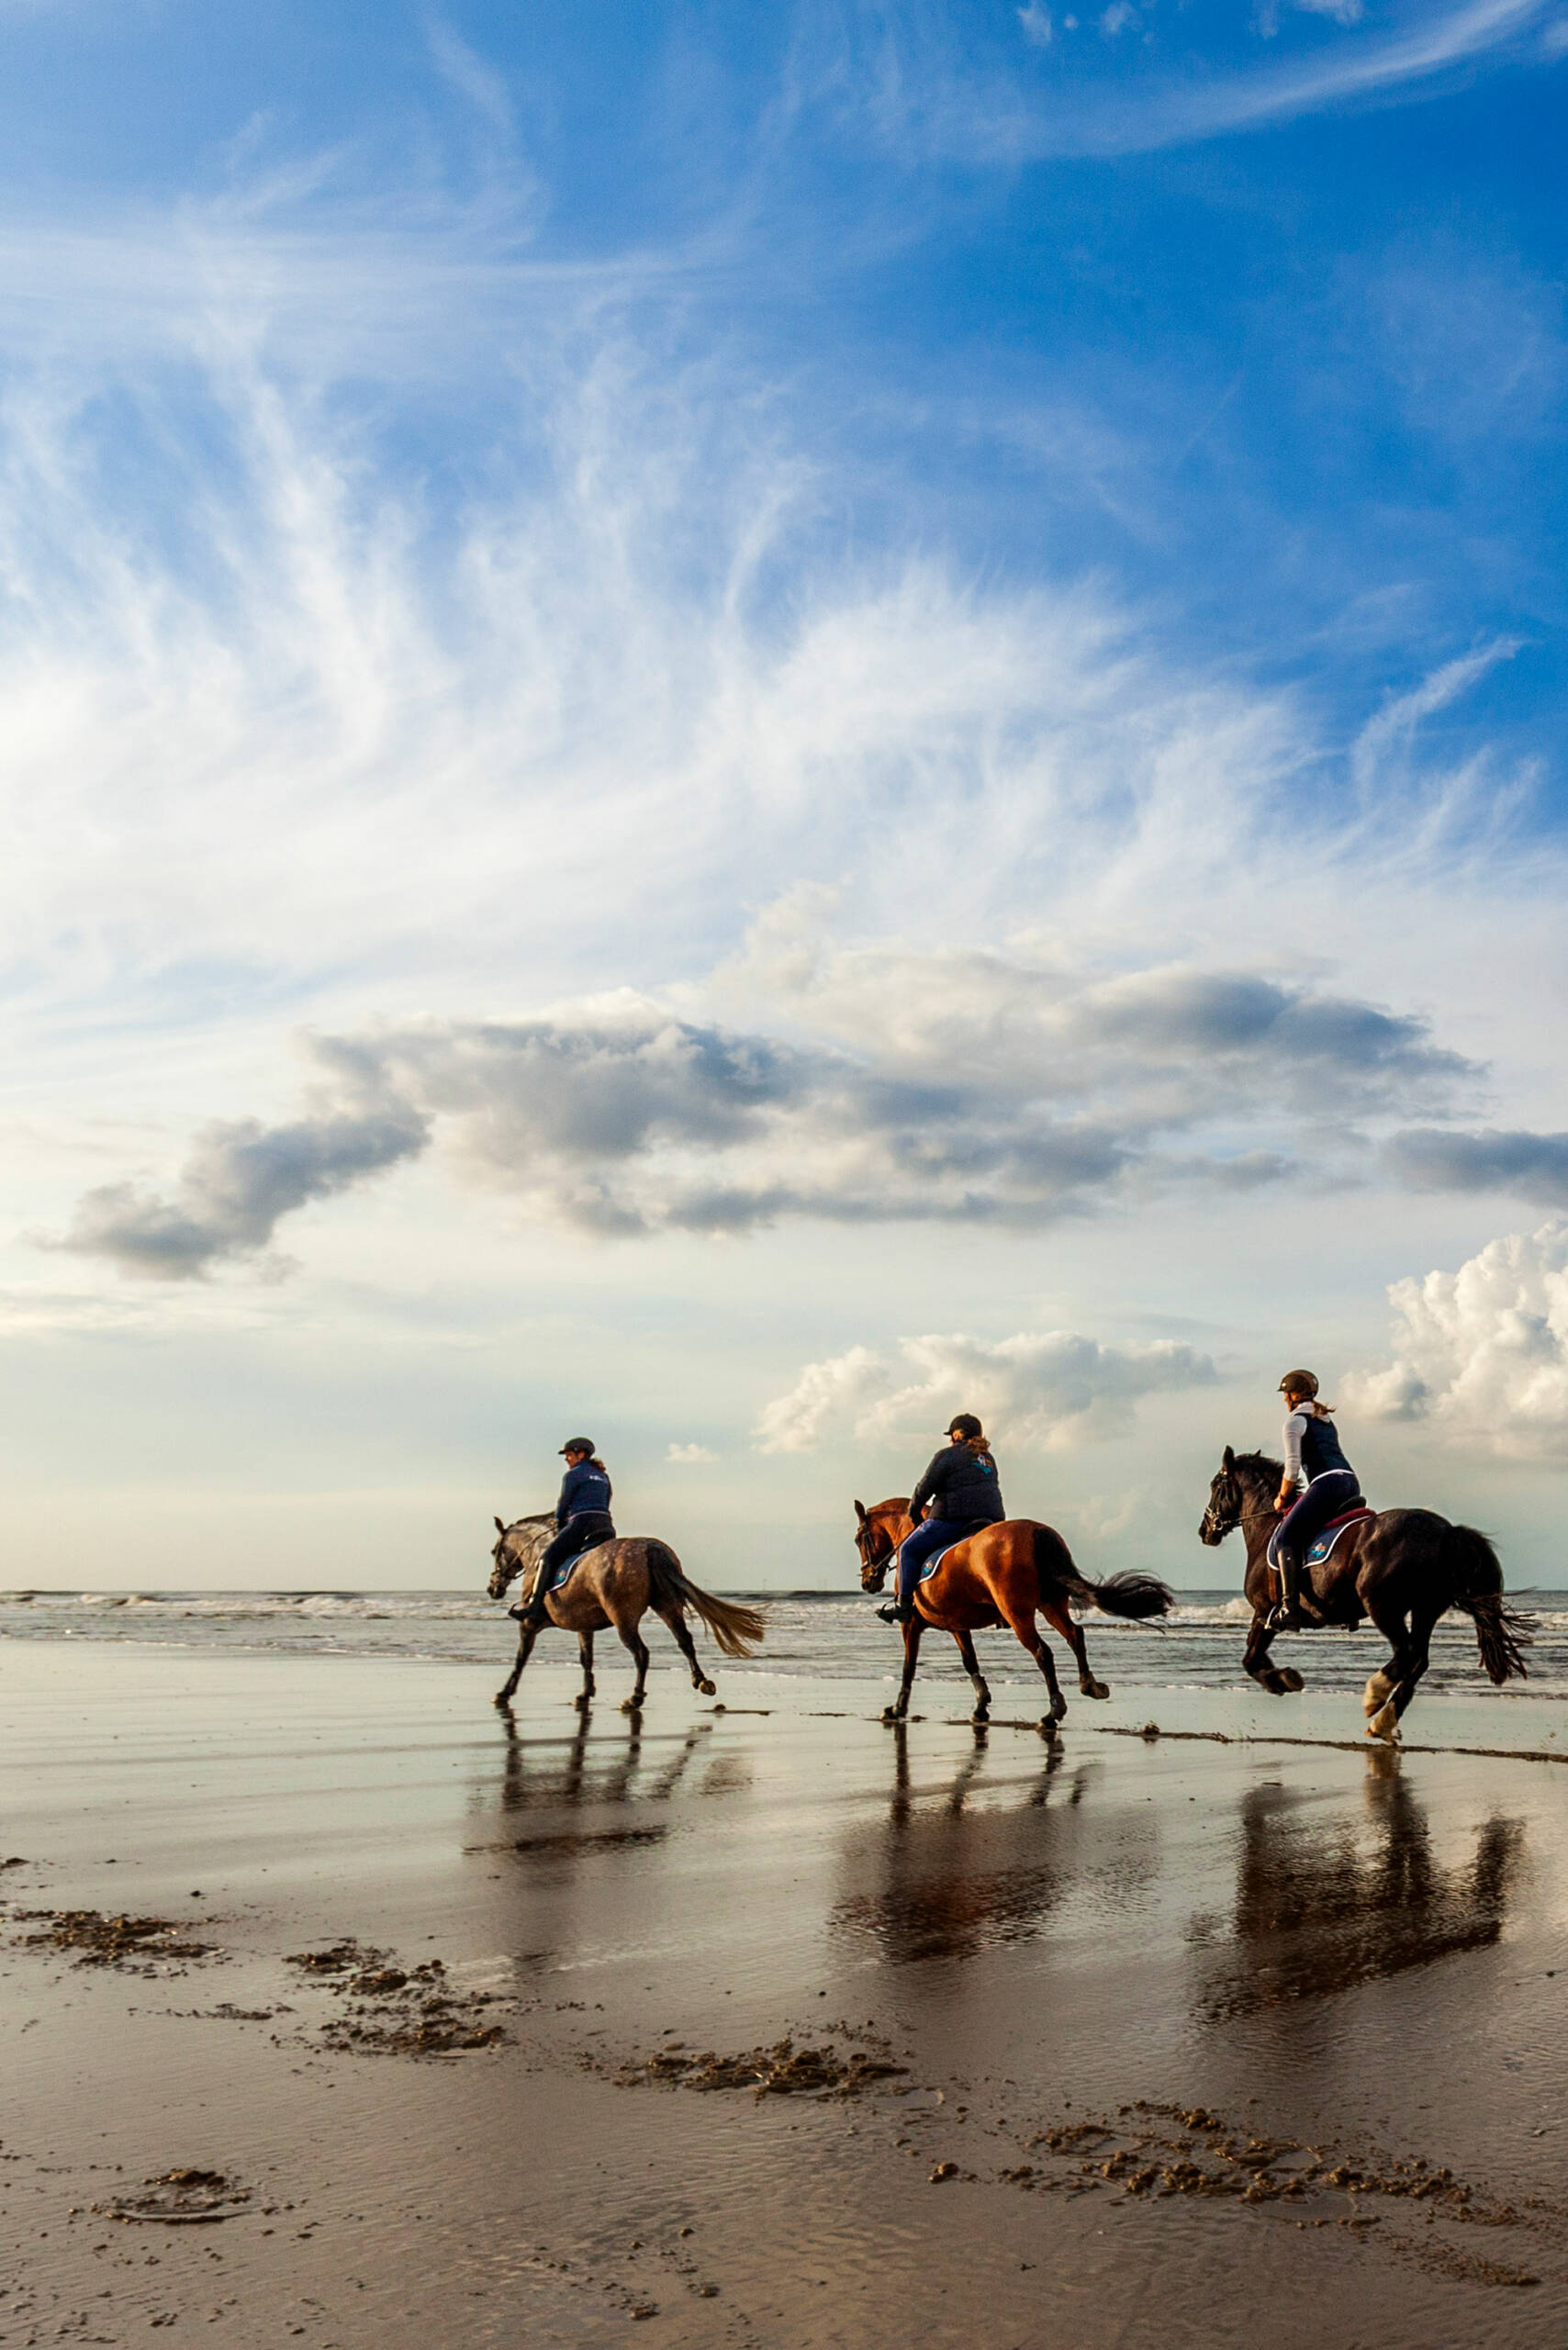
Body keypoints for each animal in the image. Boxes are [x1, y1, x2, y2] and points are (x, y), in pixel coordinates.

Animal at [487, 1513, 761, 1719]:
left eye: (494, 1551)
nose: (493, 1589)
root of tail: (651, 1548)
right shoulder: (583, 1626)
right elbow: (586, 1658)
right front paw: (585, 1694)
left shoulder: (530, 1623)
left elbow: (521, 1658)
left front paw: (504, 1693)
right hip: (668, 1607)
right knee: (685, 1641)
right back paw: (701, 1681)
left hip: (624, 1619)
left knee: (642, 1653)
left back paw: (634, 1698)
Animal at [850, 1494, 1170, 1739]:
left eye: (858, 1539)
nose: (867, 1582)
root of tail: (1036, 1531)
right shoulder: (958, 1624)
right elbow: (970, 1662)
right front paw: (981, 1708)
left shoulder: (912, 1624)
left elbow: (909, 1666)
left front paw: (897, 1709)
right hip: (1052, 1605)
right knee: (1075, 1635)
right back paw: (1089, 1686)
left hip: (1017, 1613)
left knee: (1043, 1653)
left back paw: (1053, 1712)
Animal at [1193, 1438, 1523, 1739]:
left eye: (1216, 1486)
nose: (1204, 1531)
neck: (1266, 1528)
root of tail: (1446, 1531)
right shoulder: (1264, 1615)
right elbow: (1252, 1656)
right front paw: (1284, 1678)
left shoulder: (1264, 1612)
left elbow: (1250, 1658)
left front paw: (1284, 1679)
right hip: (1425, 1608)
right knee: (1418, 1660)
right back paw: (1384, 1720)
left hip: (1383, 1606)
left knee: (1408, 1654)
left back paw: (1374, 1695)